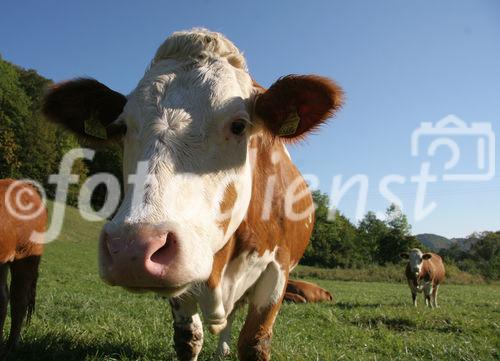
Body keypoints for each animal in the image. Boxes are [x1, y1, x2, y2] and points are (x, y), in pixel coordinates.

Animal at [42, 28, 344, 360]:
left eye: (239, 125)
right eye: (121, 128)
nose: (133, 247)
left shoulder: (278, 269)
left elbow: (254, 342)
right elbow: (188, 339)